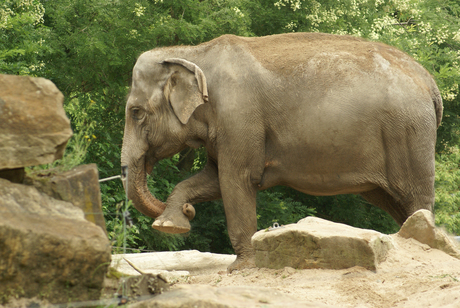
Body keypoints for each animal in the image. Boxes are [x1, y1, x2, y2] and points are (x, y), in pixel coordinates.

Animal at [121, 31, 442, 272]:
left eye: (136, 113)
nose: (190, 211)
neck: (194, 53)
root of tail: (429, 80)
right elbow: (212, 178)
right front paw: (169, 225)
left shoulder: (240, 118)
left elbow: (235, 179)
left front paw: (240, 268)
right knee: (393, 201)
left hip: (408, 133)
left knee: (414, 197)